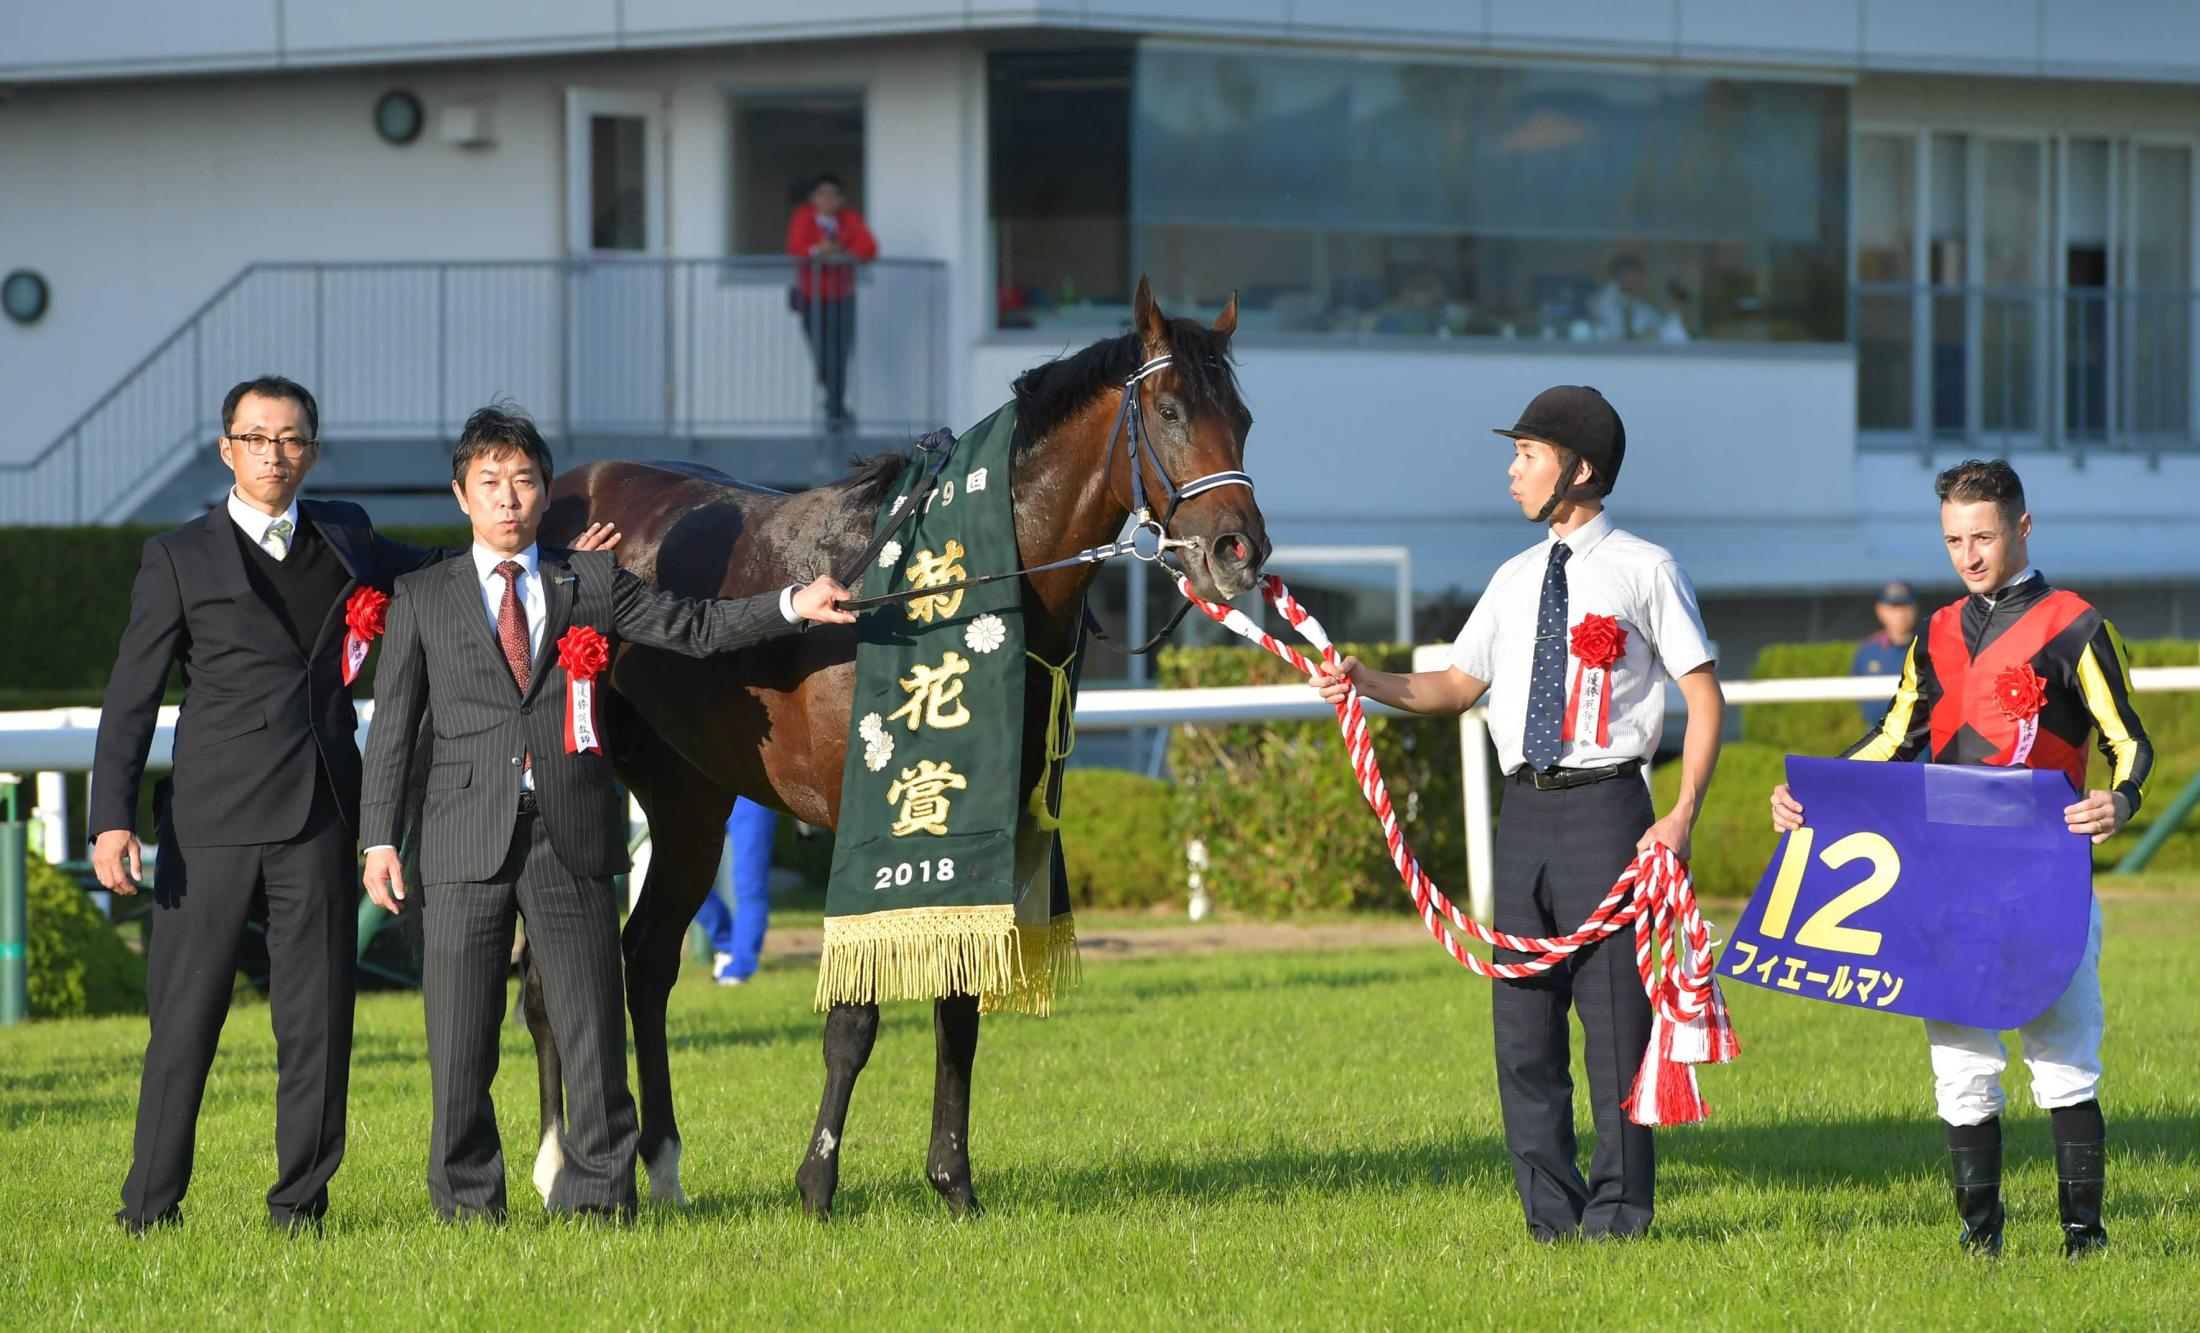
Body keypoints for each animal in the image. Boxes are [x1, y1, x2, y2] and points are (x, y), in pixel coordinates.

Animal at [528, 281, 1276, 1223]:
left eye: (1243, 416)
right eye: (1171, 409)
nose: (1239, 549)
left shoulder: (978, 822)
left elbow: (958, 1004)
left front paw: (954, 1181)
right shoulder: (869, 826)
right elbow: (854, 1018)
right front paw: (817, 1183)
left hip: (689, 798)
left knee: (647, 959)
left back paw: (660, 1160)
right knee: (551, 975)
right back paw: (557, 1161)